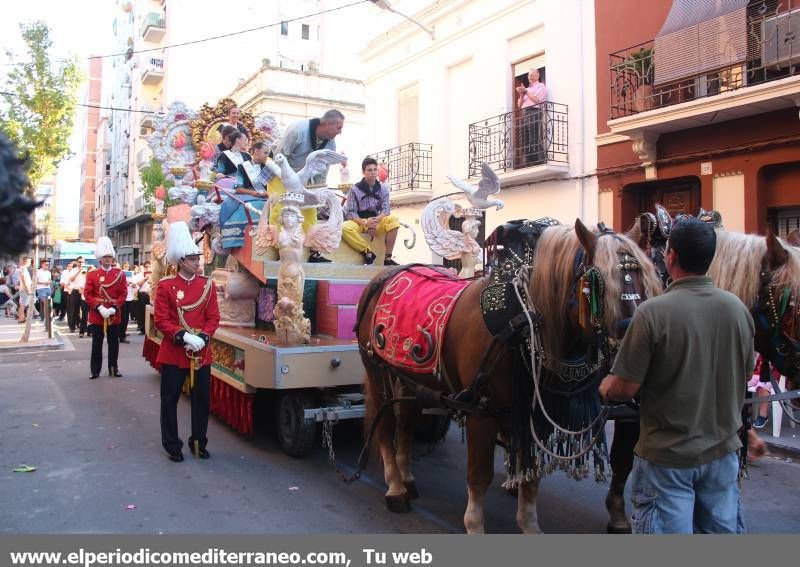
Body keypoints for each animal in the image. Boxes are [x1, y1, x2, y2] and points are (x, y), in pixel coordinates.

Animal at [356, 220, 664, 536]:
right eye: (600, 285)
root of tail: (389, 273)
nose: (636, 346)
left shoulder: (532, 416)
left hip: (409, 375)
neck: (522, 321)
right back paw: (395, 487)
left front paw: (529, 523)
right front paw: (475, 526)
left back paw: (406, 476)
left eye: (648, 279)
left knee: (406, 419)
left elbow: (532, 473)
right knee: (386, 424)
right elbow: (479, 475)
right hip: (374, 365)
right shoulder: (481, 410)